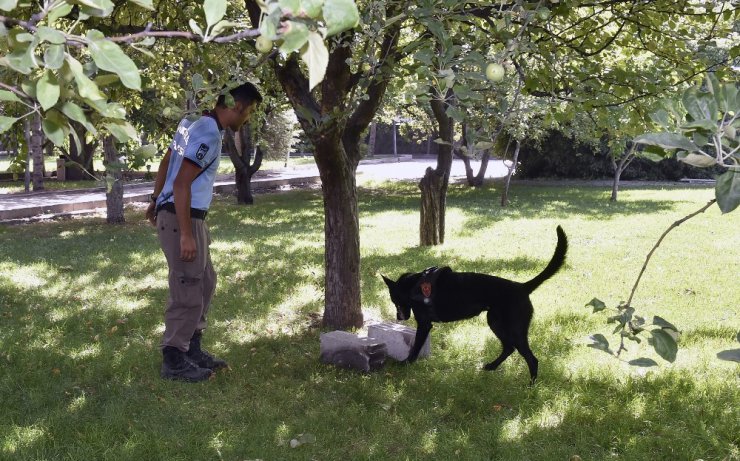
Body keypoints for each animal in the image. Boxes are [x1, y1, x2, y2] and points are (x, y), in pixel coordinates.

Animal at [382, 226, 568, 380]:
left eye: (394, 300)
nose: (399, 318)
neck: (412, 285)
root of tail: (522, 287)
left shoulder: (424, 324)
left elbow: (415, 347)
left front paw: (406, 363)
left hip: (515, 329)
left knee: (532, 359)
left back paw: (530, 386)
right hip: (495, 322)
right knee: (509, 348)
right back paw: (492, 367)